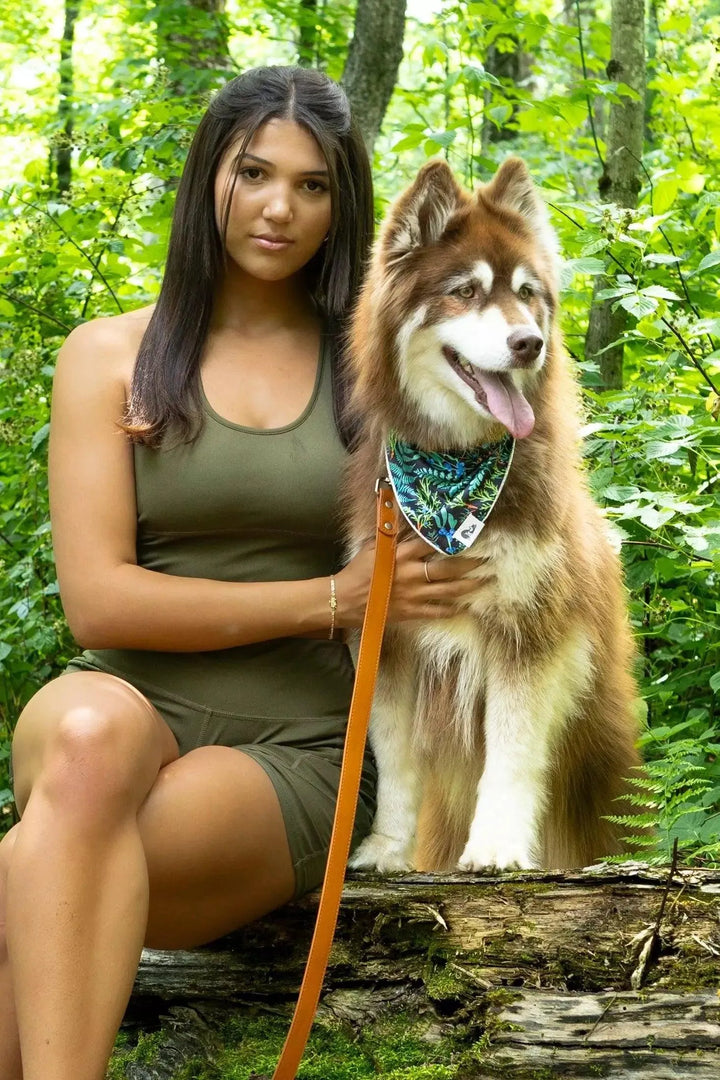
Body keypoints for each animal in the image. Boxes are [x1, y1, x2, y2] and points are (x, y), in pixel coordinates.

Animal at [343, 156, 643, 872]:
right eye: (466, 292)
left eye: (528, 293)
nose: (529, 342)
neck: (454, 471)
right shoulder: (390, 636)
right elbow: (396, 763)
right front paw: (385, 848)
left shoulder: (528, 631)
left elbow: (511, 752)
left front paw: (499, 844)